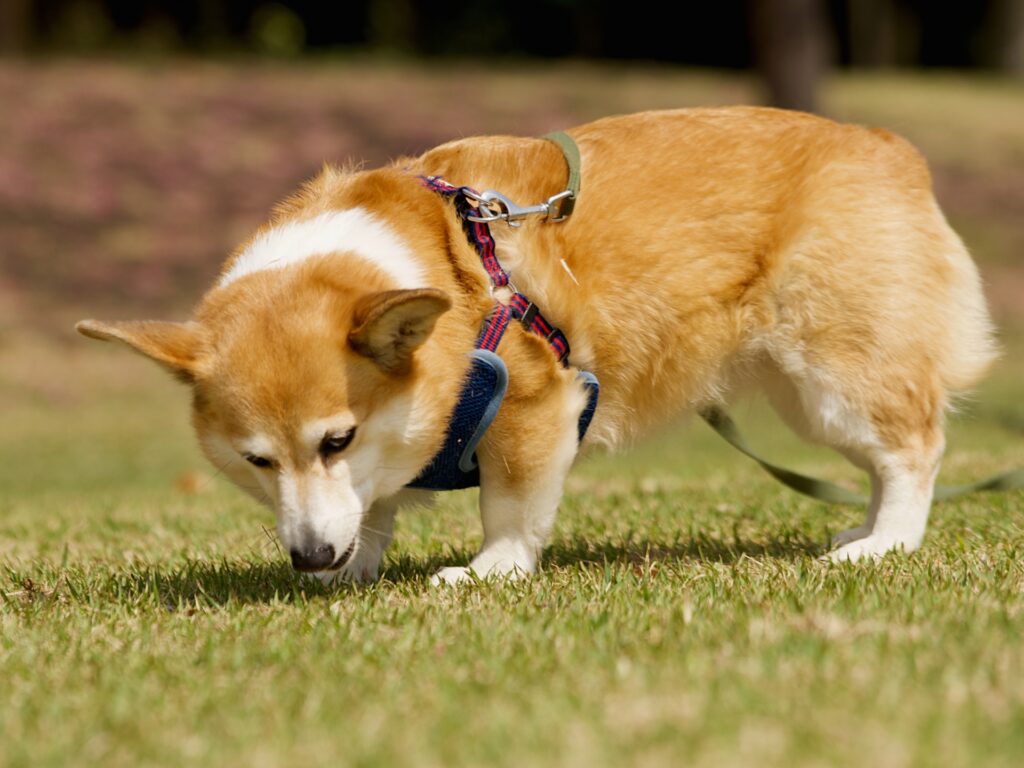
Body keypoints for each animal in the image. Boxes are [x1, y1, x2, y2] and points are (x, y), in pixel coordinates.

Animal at [75, 109, 995, 581]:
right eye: (255, 461)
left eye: (335, 439)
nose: (308, 560)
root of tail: (896, 152)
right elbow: (371, 507)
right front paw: (354, 565)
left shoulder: (532, 406)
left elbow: (509, 508)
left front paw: (488, 572)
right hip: (805, 391)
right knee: (884, 457)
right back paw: (858, 531)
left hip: (832, 373)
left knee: (914, 447)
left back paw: (885, 544)